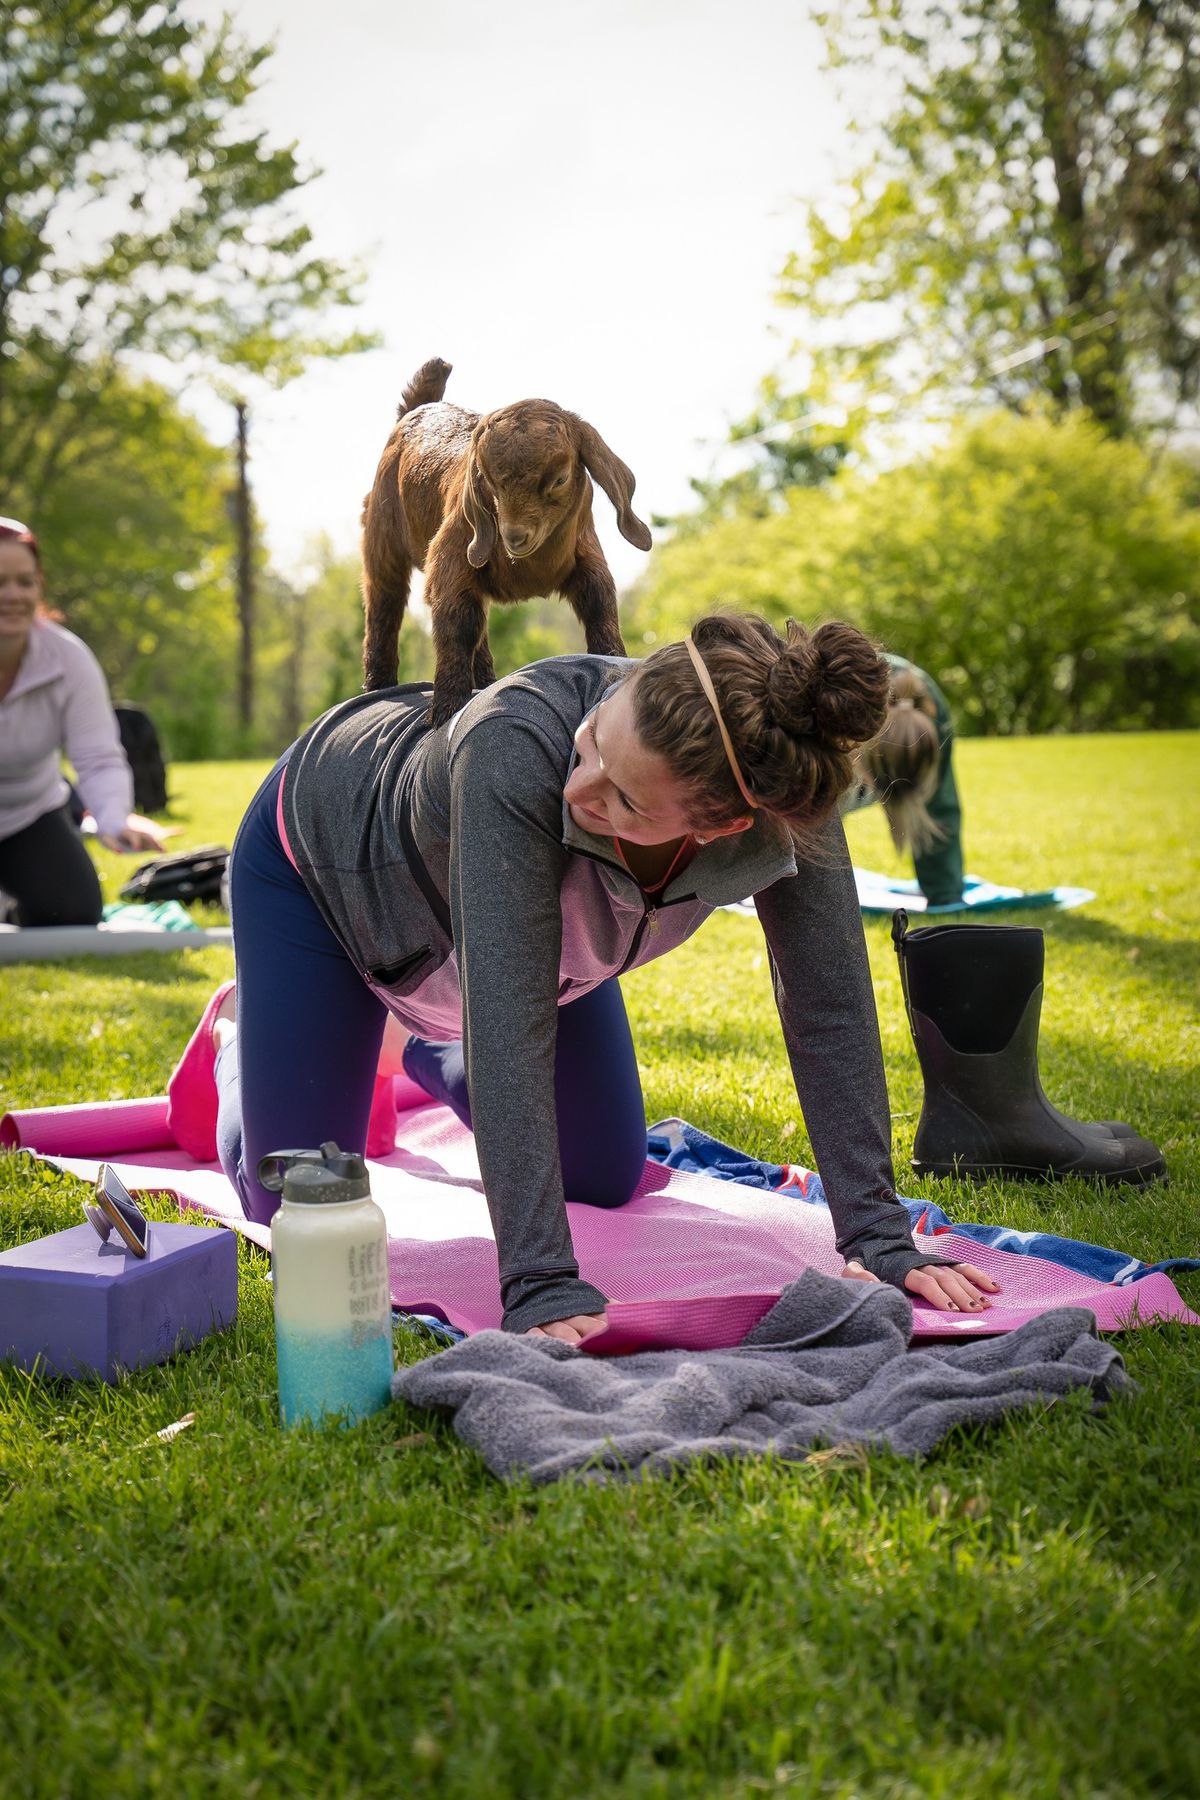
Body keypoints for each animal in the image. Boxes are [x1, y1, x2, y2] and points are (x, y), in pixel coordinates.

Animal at [361, 358, 651, 723]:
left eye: (560, 478)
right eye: (488, 479)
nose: (514, 536)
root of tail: (419, 407)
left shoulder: (587, 555)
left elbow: (599, 603)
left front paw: (614, 662)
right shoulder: (453, 555)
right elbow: (457, 624)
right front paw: (446, 711)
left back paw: (485, 681)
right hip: (381, 536)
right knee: (385, 601)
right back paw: (380, 688)